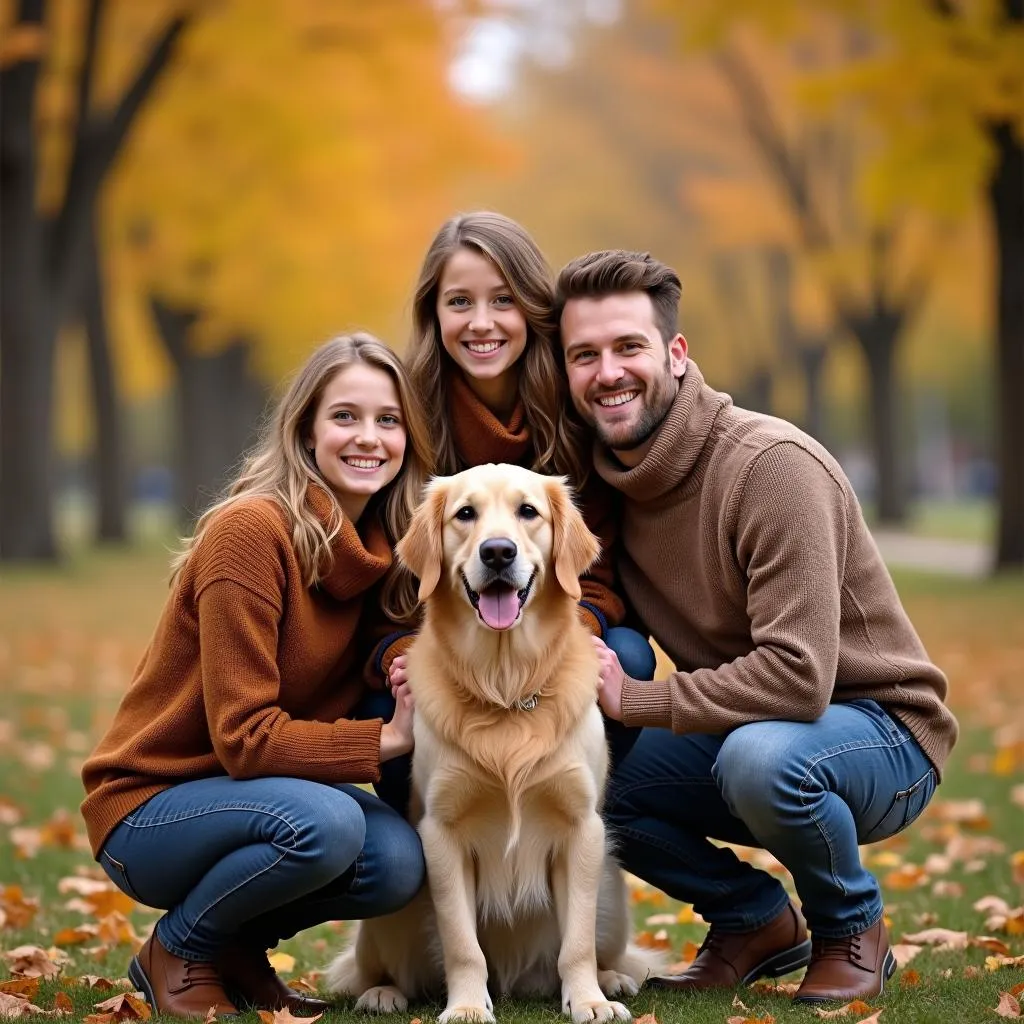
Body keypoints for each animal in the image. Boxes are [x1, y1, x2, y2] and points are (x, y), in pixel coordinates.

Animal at [327, 466, 663, 1024]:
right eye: (466, 513)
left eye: (528, 511)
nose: (498, 552)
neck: (504, 685)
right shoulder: (441, 833)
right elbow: (463, 942)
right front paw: (466, 1005)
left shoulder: (581, 828)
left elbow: (577, 943)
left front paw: (588, 999)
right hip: (389, 918)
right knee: (370, 967)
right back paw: (382, 993)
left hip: (612, 890)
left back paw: (612, 979)